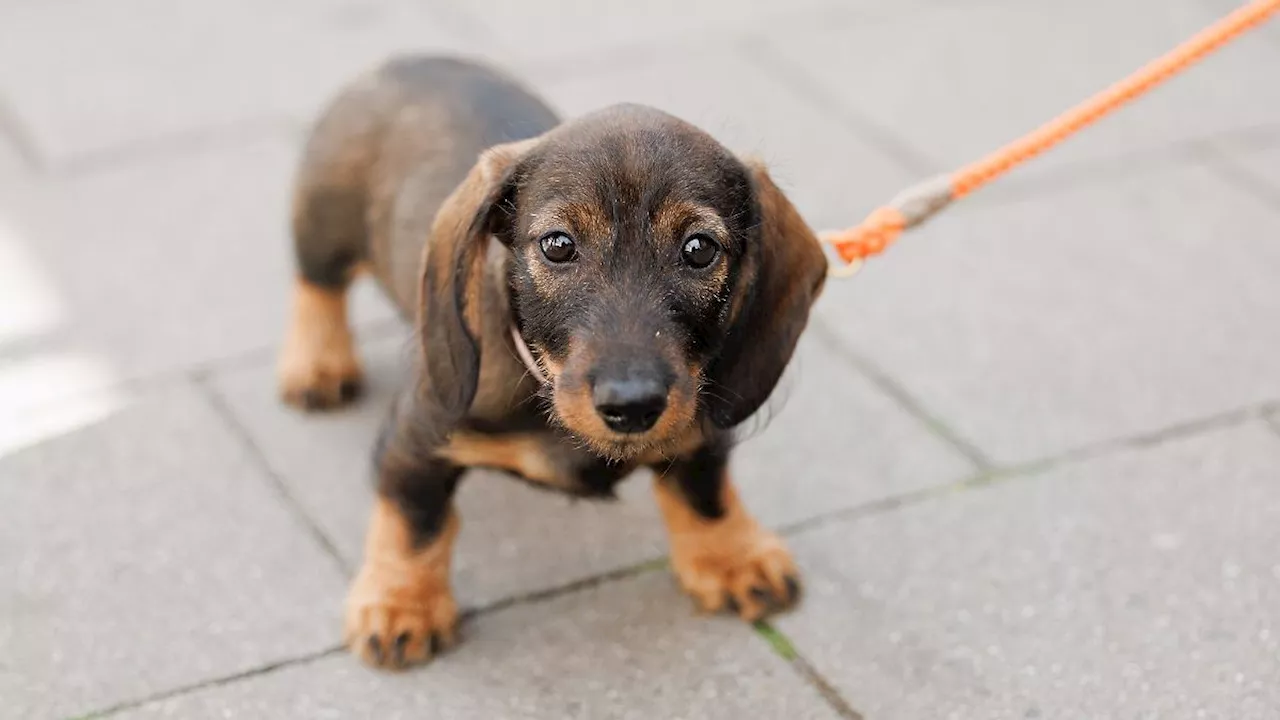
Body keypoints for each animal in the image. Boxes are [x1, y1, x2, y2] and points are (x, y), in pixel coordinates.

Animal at [275, 56, 824, 666]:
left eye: (700, 249)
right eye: (558, 245)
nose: (632, 405)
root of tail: (407, 61)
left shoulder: (698, 417)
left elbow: (705, 491)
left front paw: (732, 555)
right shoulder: (416, 436)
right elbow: (414, 521)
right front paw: (402, 603)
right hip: (324, 223)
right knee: (317, 286)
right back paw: (318, 362)